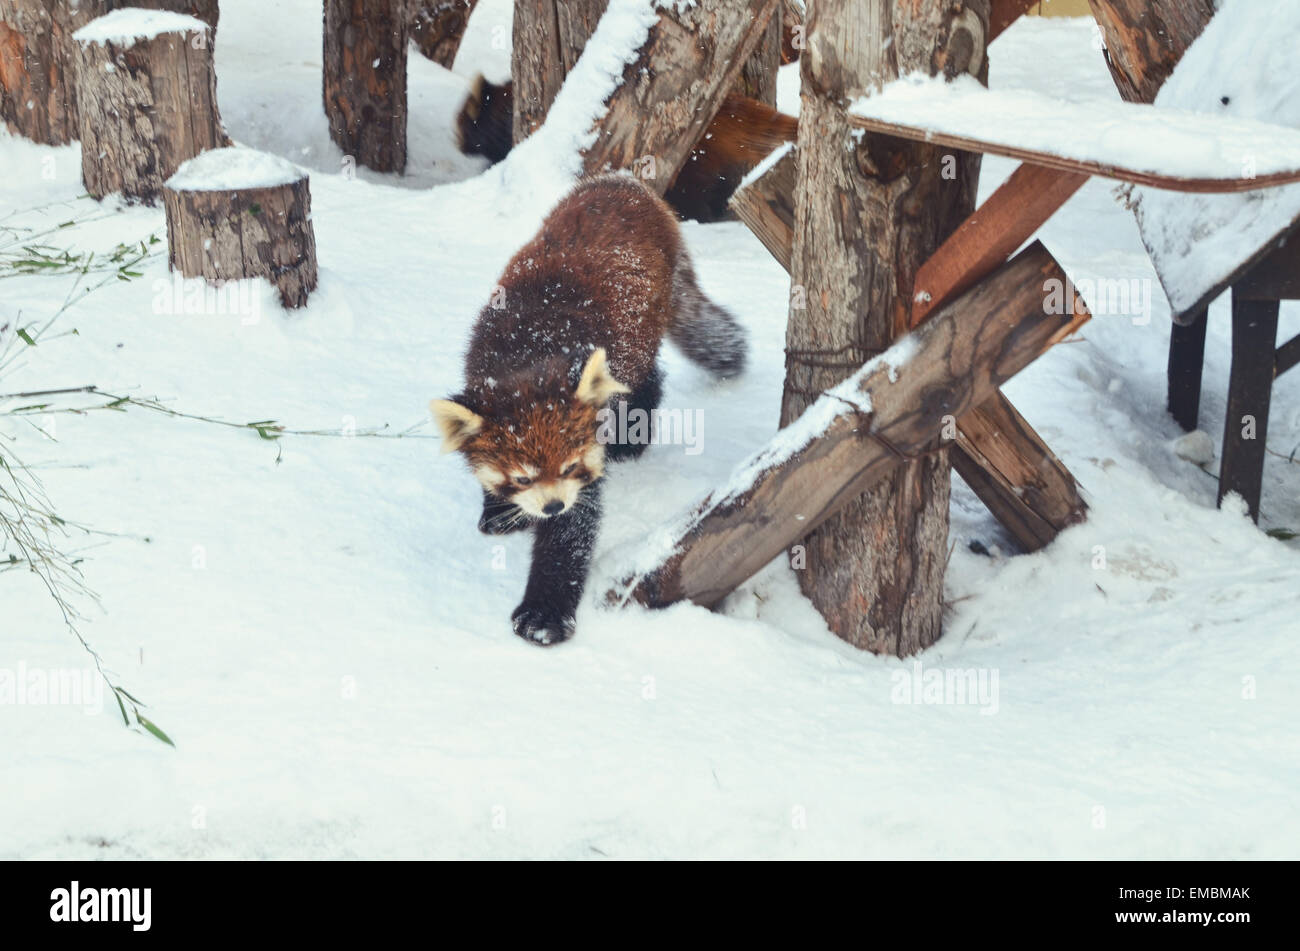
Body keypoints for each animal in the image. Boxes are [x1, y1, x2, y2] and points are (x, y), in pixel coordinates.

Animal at [431, 172, 748, 646]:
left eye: (569, 468)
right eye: (521, 477)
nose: (552, 507)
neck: (528, 357)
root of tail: (626, 182)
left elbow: (572, 532)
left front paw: (543, 616)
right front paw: (499, 511)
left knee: (645, 379)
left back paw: (632, 440)